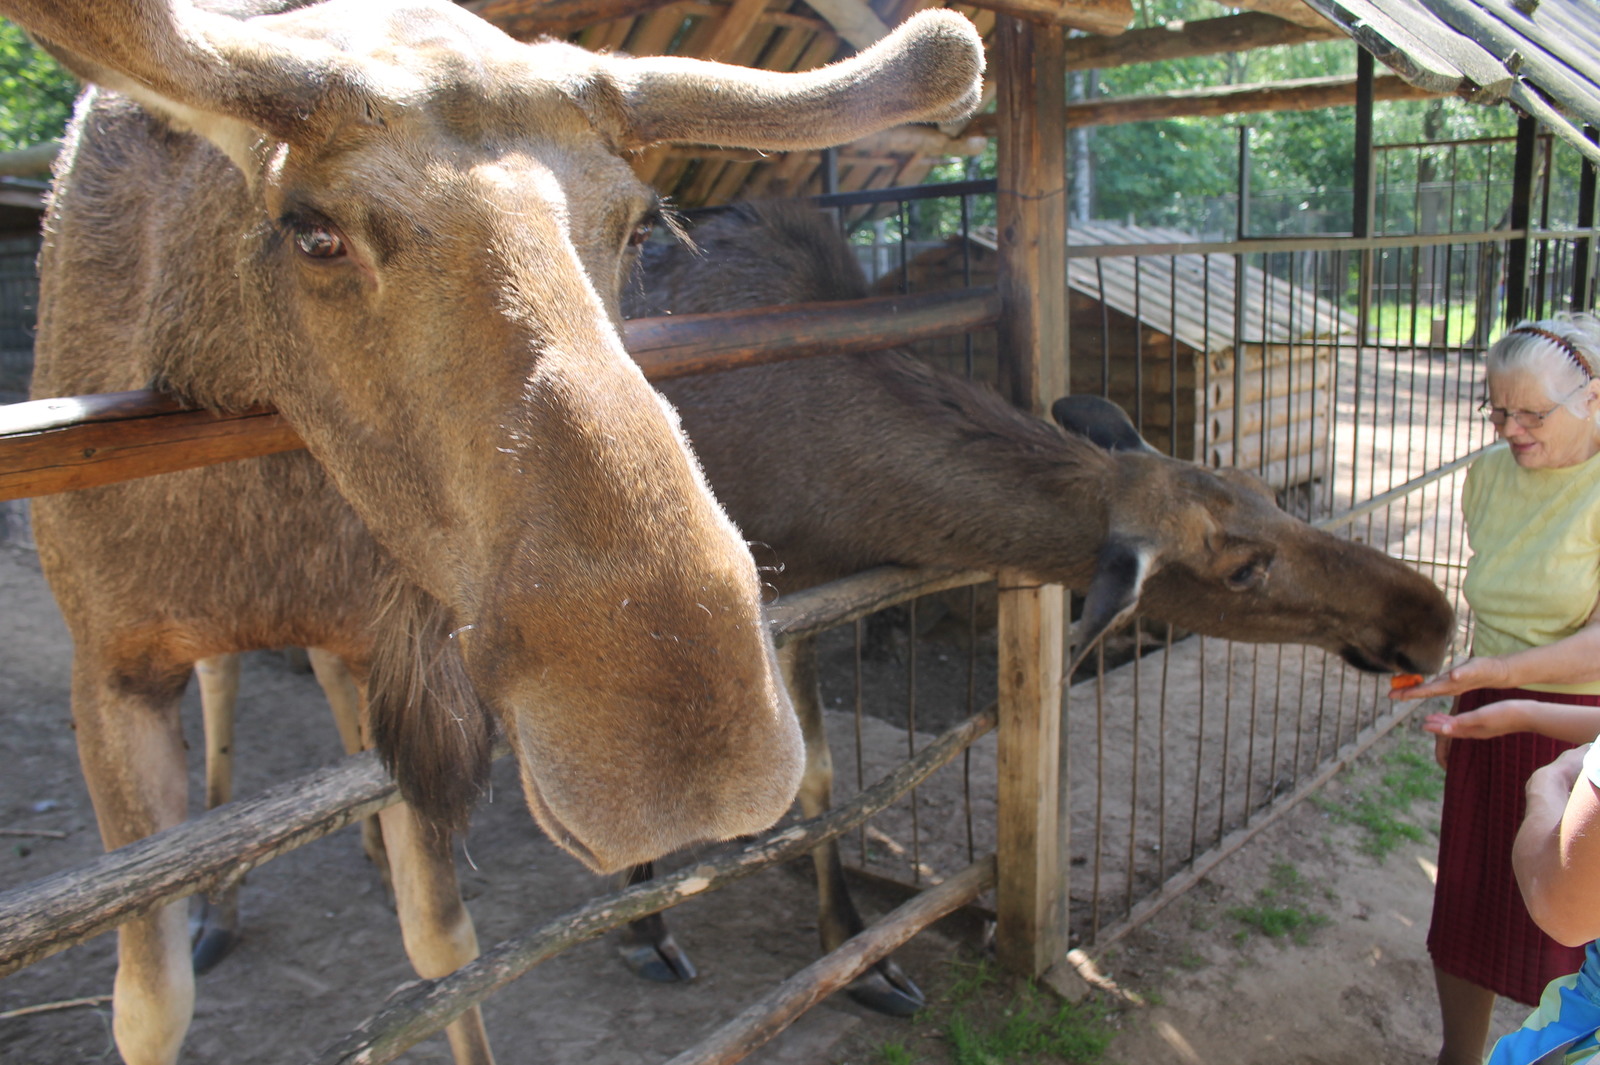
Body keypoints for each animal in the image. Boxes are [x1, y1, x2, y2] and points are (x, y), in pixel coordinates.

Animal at [12, 4, 985, 1055]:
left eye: (641, 225)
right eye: (314, 233)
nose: (685, 754)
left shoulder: (389, 640)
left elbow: (443, 946)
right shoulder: (108, 661)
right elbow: (148, 1008)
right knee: (226, 689)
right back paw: (220, 903)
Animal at [614, 201, 1465, 1010]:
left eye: (1260, 486)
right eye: (1243, 569)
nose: (1432, 616)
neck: (825, 495)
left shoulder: (805, 597)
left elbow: (817, 776)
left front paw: (859, 956)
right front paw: (649, 926)